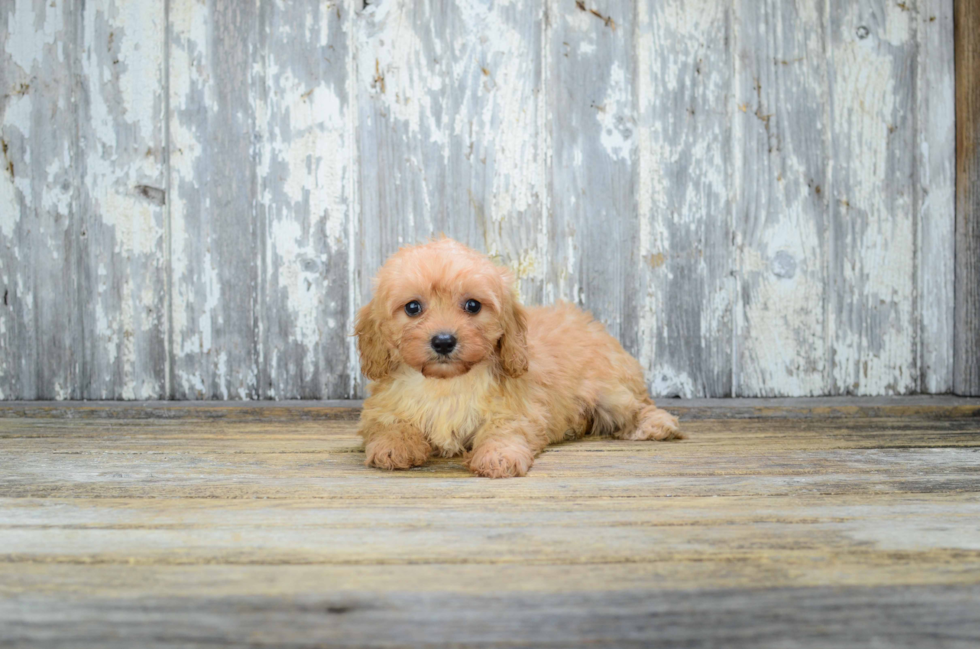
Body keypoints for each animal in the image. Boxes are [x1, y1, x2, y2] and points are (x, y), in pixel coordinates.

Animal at [354, 238, 680, 476]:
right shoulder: (383, 407)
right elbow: (388, 425)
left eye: (473, 305)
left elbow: (504, 429)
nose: (444, 341)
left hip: (610, 390)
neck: (447, 383)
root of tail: (590, 323)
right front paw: (393, 447)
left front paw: (497, 456)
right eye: (413, 308)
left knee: (637, 405)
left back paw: (655, 424)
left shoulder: (516, 410)